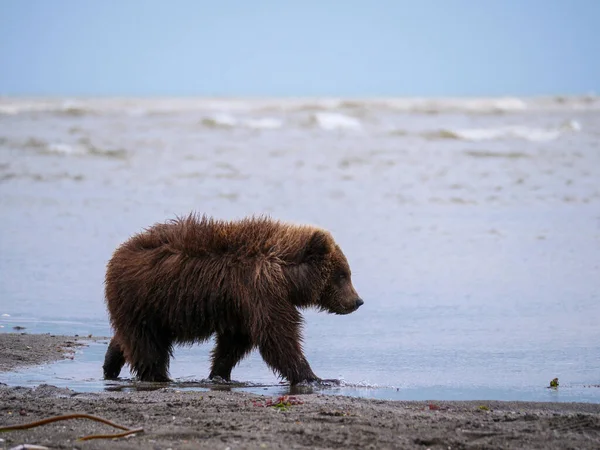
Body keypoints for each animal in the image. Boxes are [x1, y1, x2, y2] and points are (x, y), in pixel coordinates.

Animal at [103, 216, 364, 384]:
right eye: (343, 275)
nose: (357, 301)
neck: (287, 277)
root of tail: (118, 252)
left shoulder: (241, 304)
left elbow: (235, 342)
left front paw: (219, 373)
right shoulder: (261, 291)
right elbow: (278, 336)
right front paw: (316, 377)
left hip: (150, 308)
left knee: (128, 338)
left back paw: (110, 365)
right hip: (144, 298)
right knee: (147, 344)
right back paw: (158, 376)